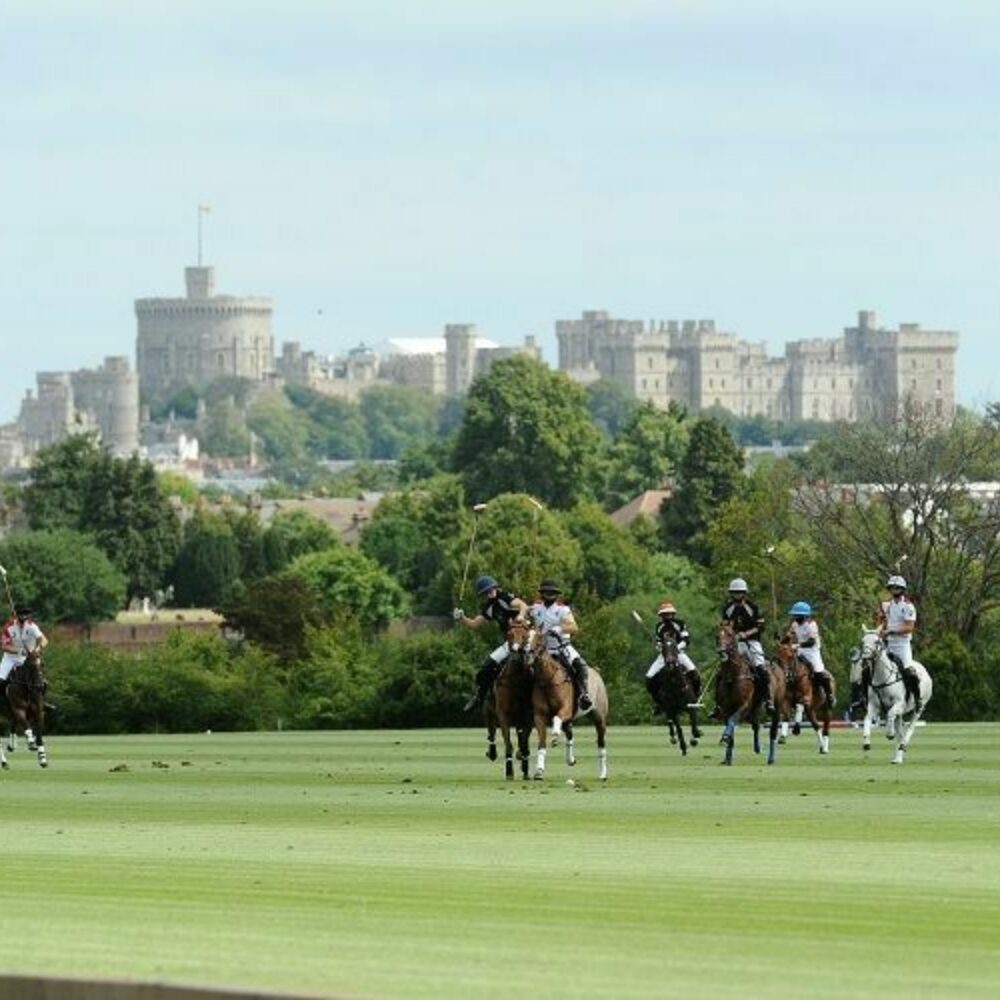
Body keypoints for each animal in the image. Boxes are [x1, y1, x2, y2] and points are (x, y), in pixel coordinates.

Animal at [482, 620, 536, 776]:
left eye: (525, 636)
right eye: (509, 634)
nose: (516, 651)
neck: (516, 681)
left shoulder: (527, 716)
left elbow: (523, 741)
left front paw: (523, 762)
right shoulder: (503, 715)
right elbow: (508, 743)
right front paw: (509, 771)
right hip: (488, 711)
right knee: (491, 733)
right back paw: (492, 753)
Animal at [524, 632, 608, 780]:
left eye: (539, 639)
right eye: (525, 637)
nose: (528, 654)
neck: (548, 680)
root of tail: (597, 673)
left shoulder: (566, 709)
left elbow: (556, 718)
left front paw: (555, 735)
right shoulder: (539, 716)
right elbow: (541, 743)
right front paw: (539, 771)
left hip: (599, 717)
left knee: (601, 742)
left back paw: (603, 773)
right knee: (570, 734)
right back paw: (570, 759)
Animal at [716, 624, 784, 764]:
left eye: (730, 634)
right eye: (717, 636)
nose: (721, 651)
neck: (733, 675)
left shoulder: (744, 705)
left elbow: (732, 721)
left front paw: (725, 737)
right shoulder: (726, 708)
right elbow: (730, 724)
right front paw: (728, 758)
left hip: (776, 707)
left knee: (773, 730)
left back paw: (771, 758)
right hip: (755, 706)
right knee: (756, 725)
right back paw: (757, 747)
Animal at [848, 624, 932, 764]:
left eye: (877, 642)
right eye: (863, 641)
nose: (865, 659)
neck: (883, 678)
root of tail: (924, 670)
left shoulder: (898, 704)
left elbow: (890, 714)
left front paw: (889, 734)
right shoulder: (874, 706)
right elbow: (867, 719)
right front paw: (866, 742)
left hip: (920, 707)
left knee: (910, 727)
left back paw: (903, 745)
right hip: (902, 713)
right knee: (900, 732)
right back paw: (897, 758)